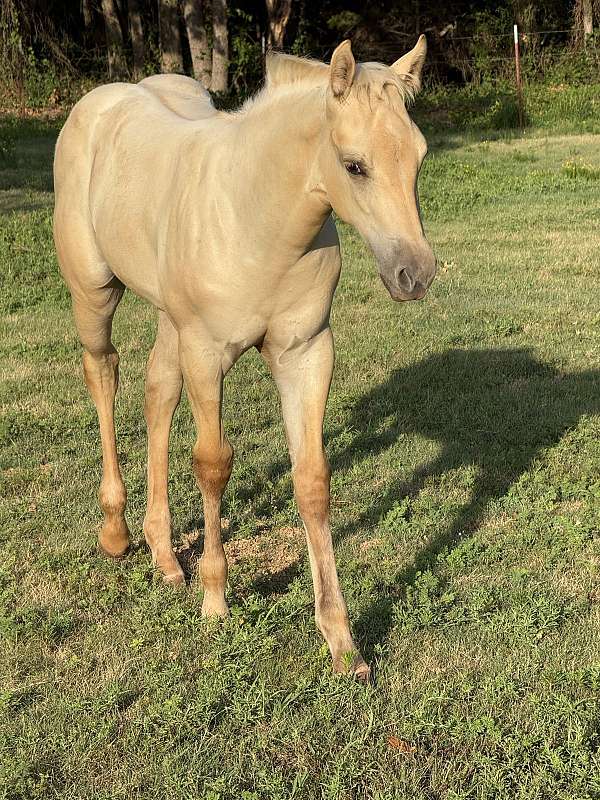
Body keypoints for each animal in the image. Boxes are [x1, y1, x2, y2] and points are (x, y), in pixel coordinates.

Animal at [53, 37, 437, 679]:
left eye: (420, 157)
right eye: (354, 165)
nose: (415, 274)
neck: (256, 217)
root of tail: (99, 101)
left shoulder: (306, 352)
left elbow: (312, 480)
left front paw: (341, 640)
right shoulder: (208, 354)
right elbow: (212, 463)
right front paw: (215, 599)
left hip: (170, 317)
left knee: (158, 391)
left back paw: (164, 555)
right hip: (95, 293)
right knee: (103, 375)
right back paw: (116, 531)